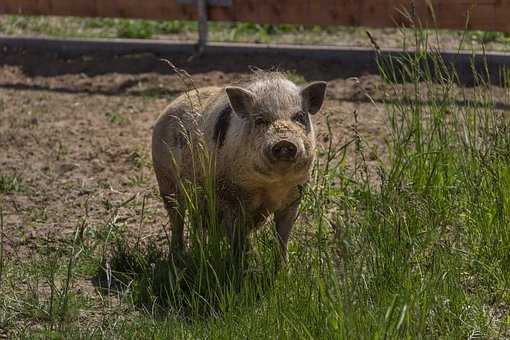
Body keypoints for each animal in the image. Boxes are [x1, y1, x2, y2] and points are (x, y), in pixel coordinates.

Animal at [151, 70, 326, 264]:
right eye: (261, 120)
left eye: (300, 117)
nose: (284, 141)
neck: (272, 183)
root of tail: (170, 106)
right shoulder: (231, 197)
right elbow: (239, 237)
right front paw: (247, 264)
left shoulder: (294, 196)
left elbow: (283, 235)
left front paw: (282, 267)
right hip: (165, 179)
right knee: (177, 217)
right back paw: (177, 257)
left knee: (197, 222)